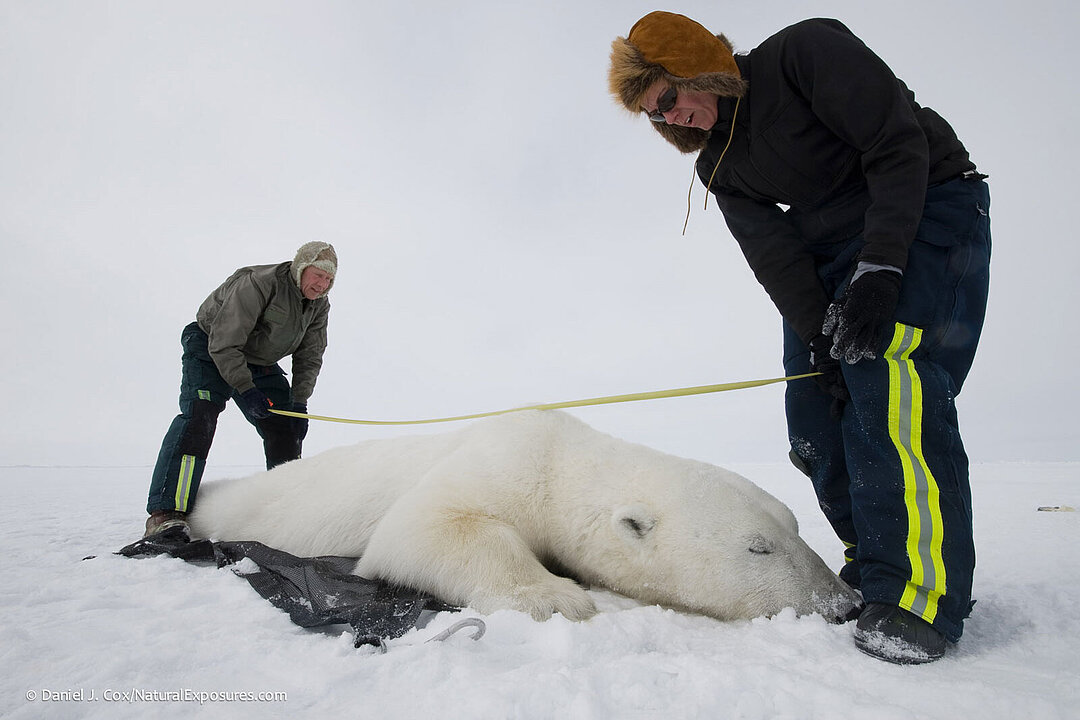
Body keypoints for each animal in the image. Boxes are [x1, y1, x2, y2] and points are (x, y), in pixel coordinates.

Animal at [185, 410, 859, 626]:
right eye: (757, 547)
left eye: (797, 527)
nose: (844, 603)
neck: (560, 452)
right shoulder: (505, 458)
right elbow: (422, 527)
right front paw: (557, 596)